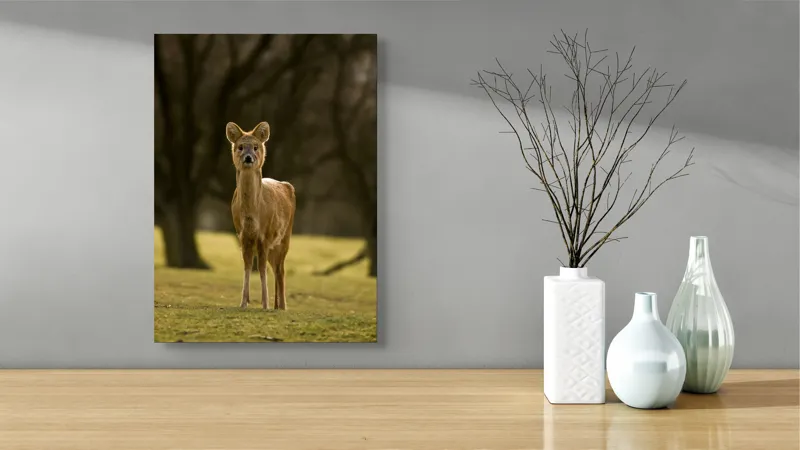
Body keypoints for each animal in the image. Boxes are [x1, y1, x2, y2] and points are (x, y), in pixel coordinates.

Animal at [225, 121, 296, 310]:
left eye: (256, 147)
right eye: (240, 147)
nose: (248, 157)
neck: (253, 214)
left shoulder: (265, 234)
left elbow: (262, 268)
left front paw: (265, 304)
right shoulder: (242, 234)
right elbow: (248, 266)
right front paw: (243, 303)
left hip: (285, 237)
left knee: (280, 269)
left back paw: (282, 306)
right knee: (276, 267)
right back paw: (277, 305)